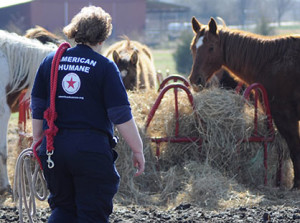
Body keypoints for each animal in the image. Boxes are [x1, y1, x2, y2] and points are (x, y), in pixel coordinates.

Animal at [190, 17, 300, 188]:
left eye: (211, 48)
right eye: (193, 48)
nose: (195, 80)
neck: (269, 62)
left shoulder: (286, 118)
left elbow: (295, 149)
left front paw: (296, 184)